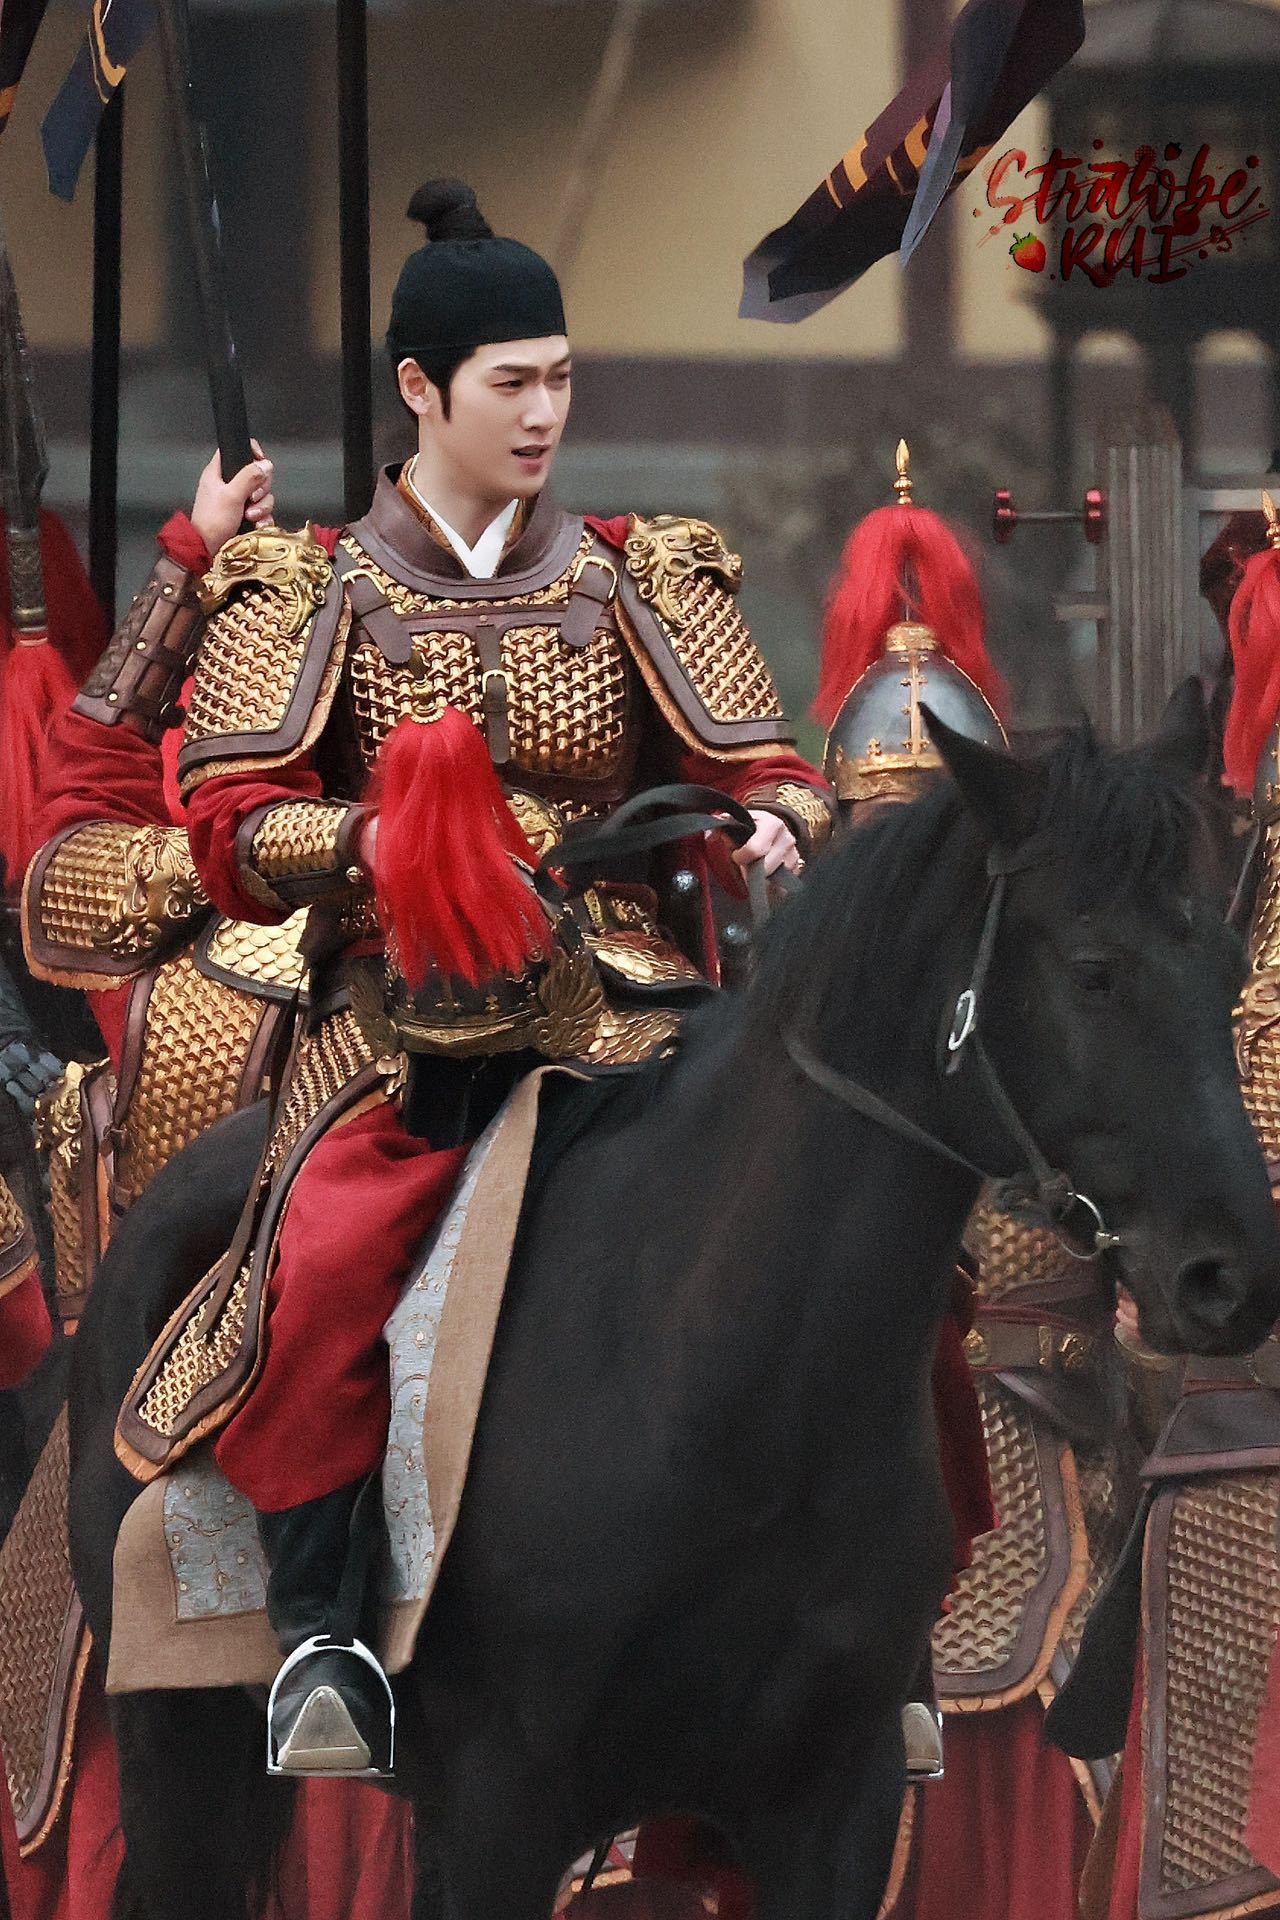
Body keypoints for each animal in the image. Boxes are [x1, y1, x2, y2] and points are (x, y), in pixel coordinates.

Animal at [67, 701, 1280, 1920]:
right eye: (1093, 971)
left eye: (1227, 967)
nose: (1227, 1276)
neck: (721, 1389)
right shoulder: (500, 1805)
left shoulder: (829, 1807)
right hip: (177, 1743)